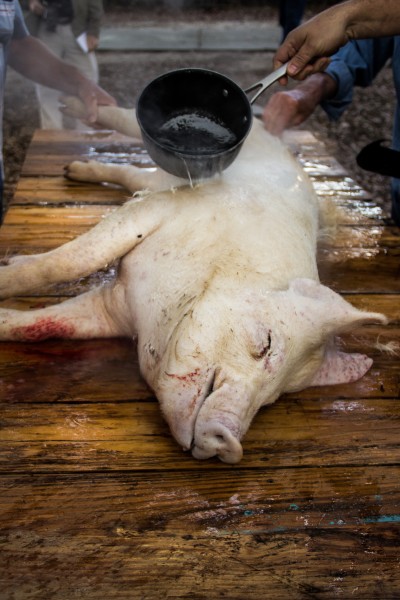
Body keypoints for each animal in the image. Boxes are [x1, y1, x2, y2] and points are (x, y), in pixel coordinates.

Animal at [0, 101, 388, 462]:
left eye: (274, 398)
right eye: (266, 343)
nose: (230, 443)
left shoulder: (113, 309)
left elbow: (46, 327)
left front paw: (8, 316)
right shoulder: (162, 209)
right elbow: (68, 263)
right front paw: (9, 272)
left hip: (149, 180)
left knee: (131, 174)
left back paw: (74, 168)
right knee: (120, 120)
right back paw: (76, 116)